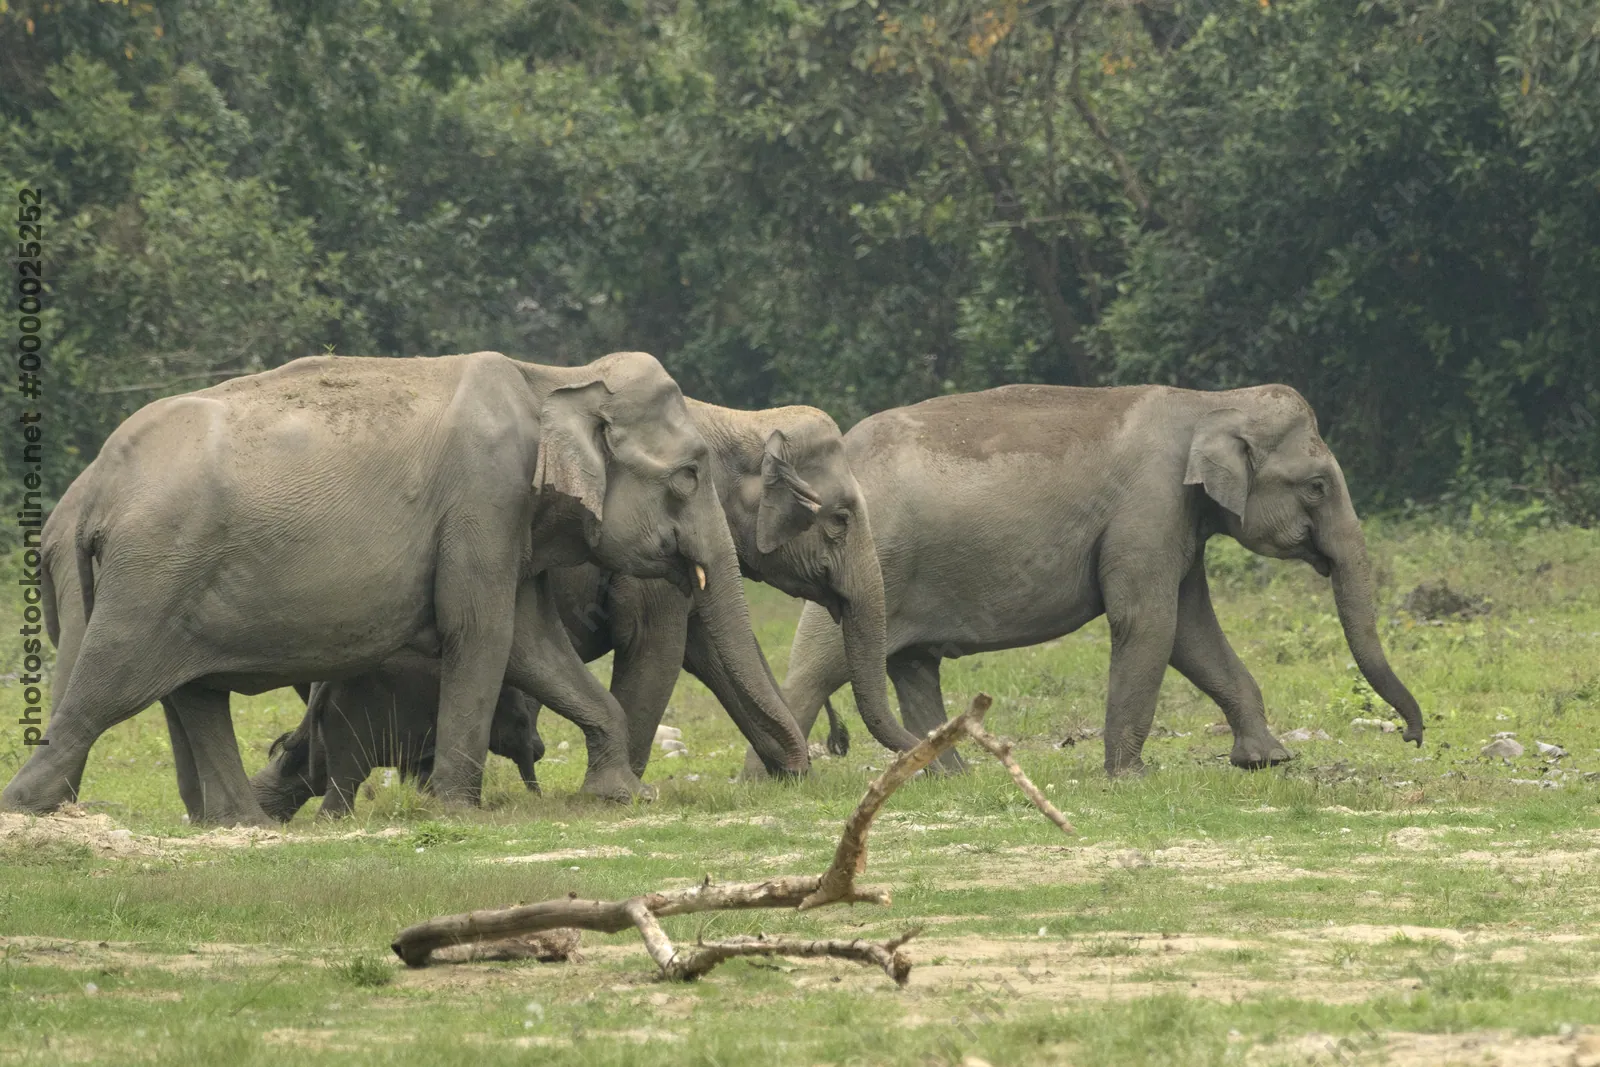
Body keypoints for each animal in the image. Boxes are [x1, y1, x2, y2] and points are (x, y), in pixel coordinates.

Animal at [5, 350, 810, 825]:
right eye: (688, 474)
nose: (800, 774)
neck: (550, 376)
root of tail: (90, 489)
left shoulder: (508, 522)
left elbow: (533, 644)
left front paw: (620, 795)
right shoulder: (485, 499)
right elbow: (483, 634)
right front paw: (455, 811)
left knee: (193, 695)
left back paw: (242, 825)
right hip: (151, 573)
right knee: (106, 686)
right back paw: (34, 808)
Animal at [252, 398, 914, 818]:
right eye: (840, 519)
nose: (807, 766)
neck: (737, 423)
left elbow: (716, 653)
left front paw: (787, 777)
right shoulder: (652, 555)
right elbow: (661, 652)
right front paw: (622, 793)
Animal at [760, 383, 1424, 777]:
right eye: (1316, 485)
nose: (1412, 737)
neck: (1207, 400)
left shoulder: (1177, 520)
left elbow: (1192, 630)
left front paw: (1267, 760)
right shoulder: (1148, 508)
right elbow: (1149, 622)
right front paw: (1130, 776)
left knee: (914, 668)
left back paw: (952, 779)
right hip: (864, 560)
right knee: (816, 669)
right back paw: (775, 782)